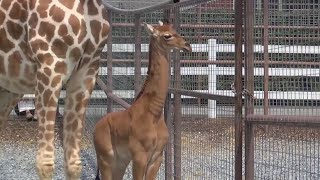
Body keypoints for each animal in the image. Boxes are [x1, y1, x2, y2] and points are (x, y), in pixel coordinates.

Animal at [94, 20, 191, 180]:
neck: (154, 115)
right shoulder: (140, 156)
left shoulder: (157, 157)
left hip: (120, 161)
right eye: (167, 35)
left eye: (174, 29)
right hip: (105, 159)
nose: (187, 45)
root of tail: (96, 127)